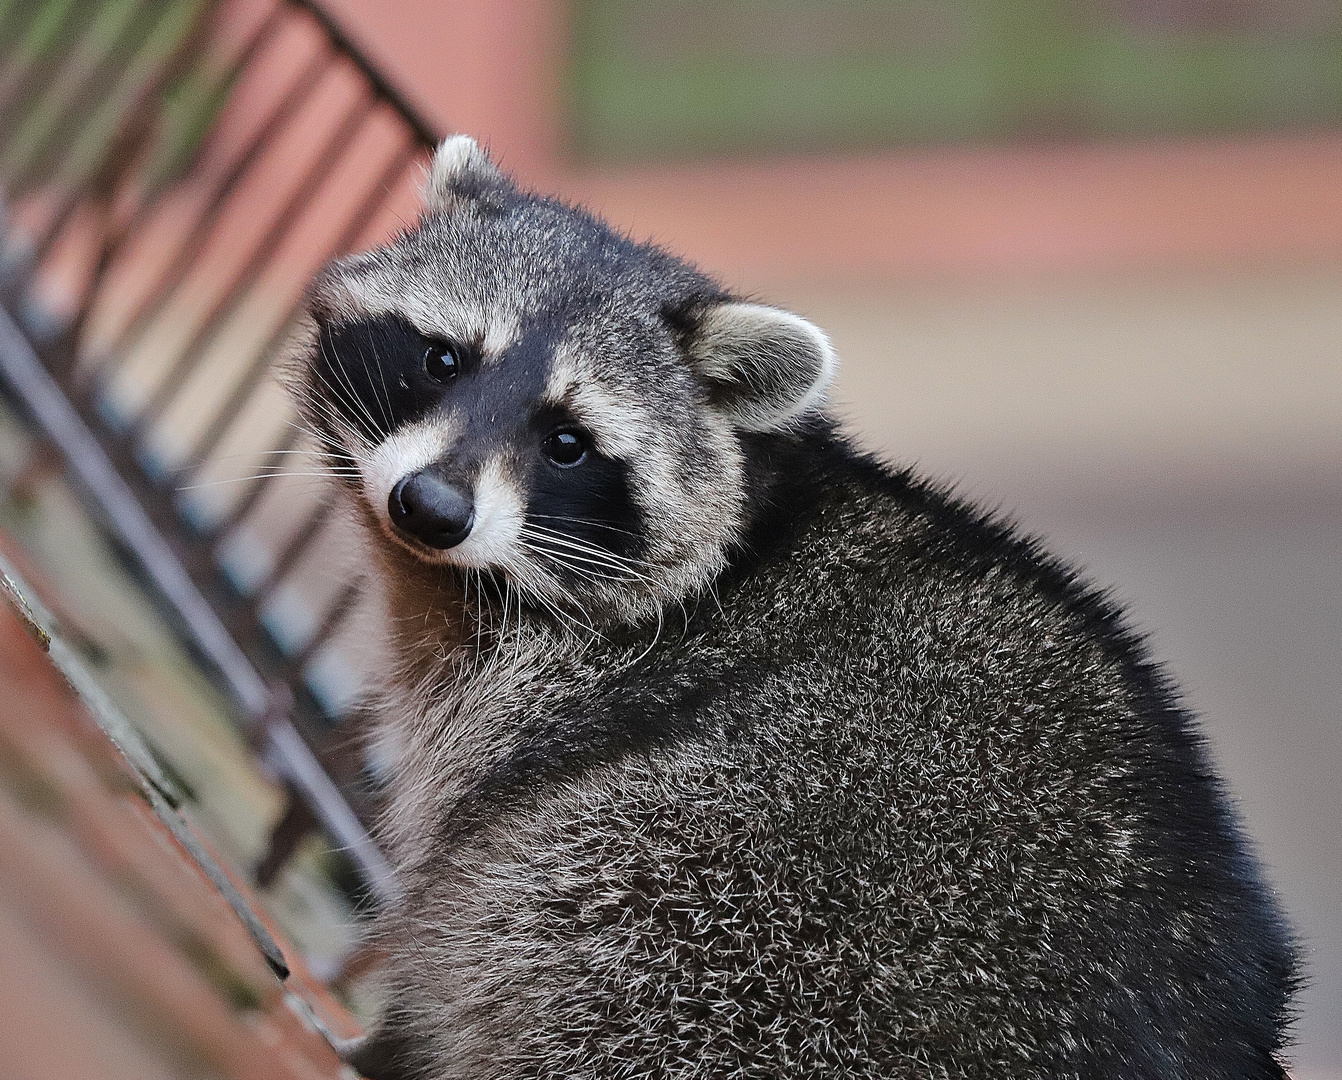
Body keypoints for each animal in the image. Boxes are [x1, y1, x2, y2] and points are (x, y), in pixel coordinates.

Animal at [291, 136, 1288, 1078]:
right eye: (441, 358)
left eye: (567, 443)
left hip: (743, 903)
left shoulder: (542, 701)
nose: (431, 507)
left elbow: (461, 888)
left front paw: (393, 1035)